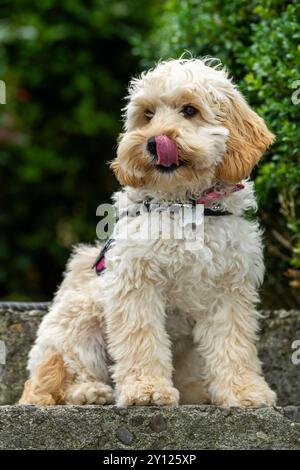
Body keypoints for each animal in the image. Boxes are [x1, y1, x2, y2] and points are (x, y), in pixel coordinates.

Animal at [19, 57, 276, 404]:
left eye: (190, 110)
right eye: (148, 114)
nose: (154, 143)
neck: (185, 206)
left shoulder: (229, 289)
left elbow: (233, 345)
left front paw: (244, 391)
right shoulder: (135, 283)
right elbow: (141, 340)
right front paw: (147, 389)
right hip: (78, 317)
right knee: (61, 373)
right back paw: (88, 391)